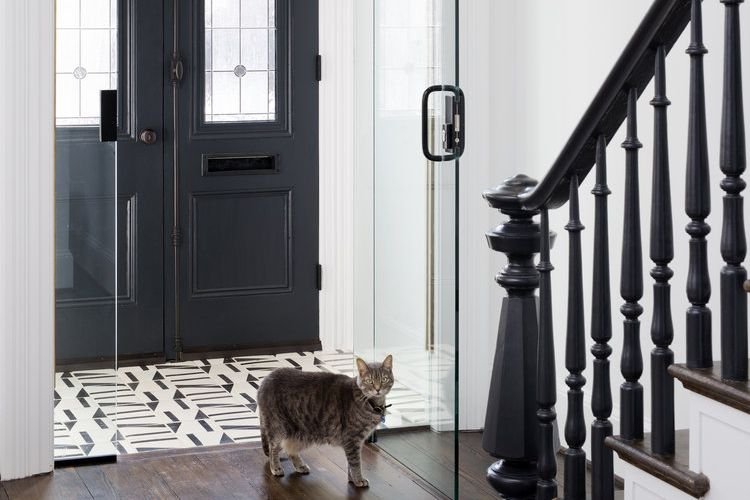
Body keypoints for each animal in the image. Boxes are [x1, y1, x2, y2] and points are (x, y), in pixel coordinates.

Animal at [258, 354, 396, 486]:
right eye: (370, 381)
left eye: (384, 379)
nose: (378, 389)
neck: (372, 403)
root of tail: (265, 380)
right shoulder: (352, 439)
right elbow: (355, 463)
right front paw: (358, 480)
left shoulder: (355, 441)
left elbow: (350, 464)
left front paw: (352, 479)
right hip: (277, 426)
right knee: (273, 448)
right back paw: (275, 467)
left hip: (298, 431)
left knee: (290, 448)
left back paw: (300, 466)